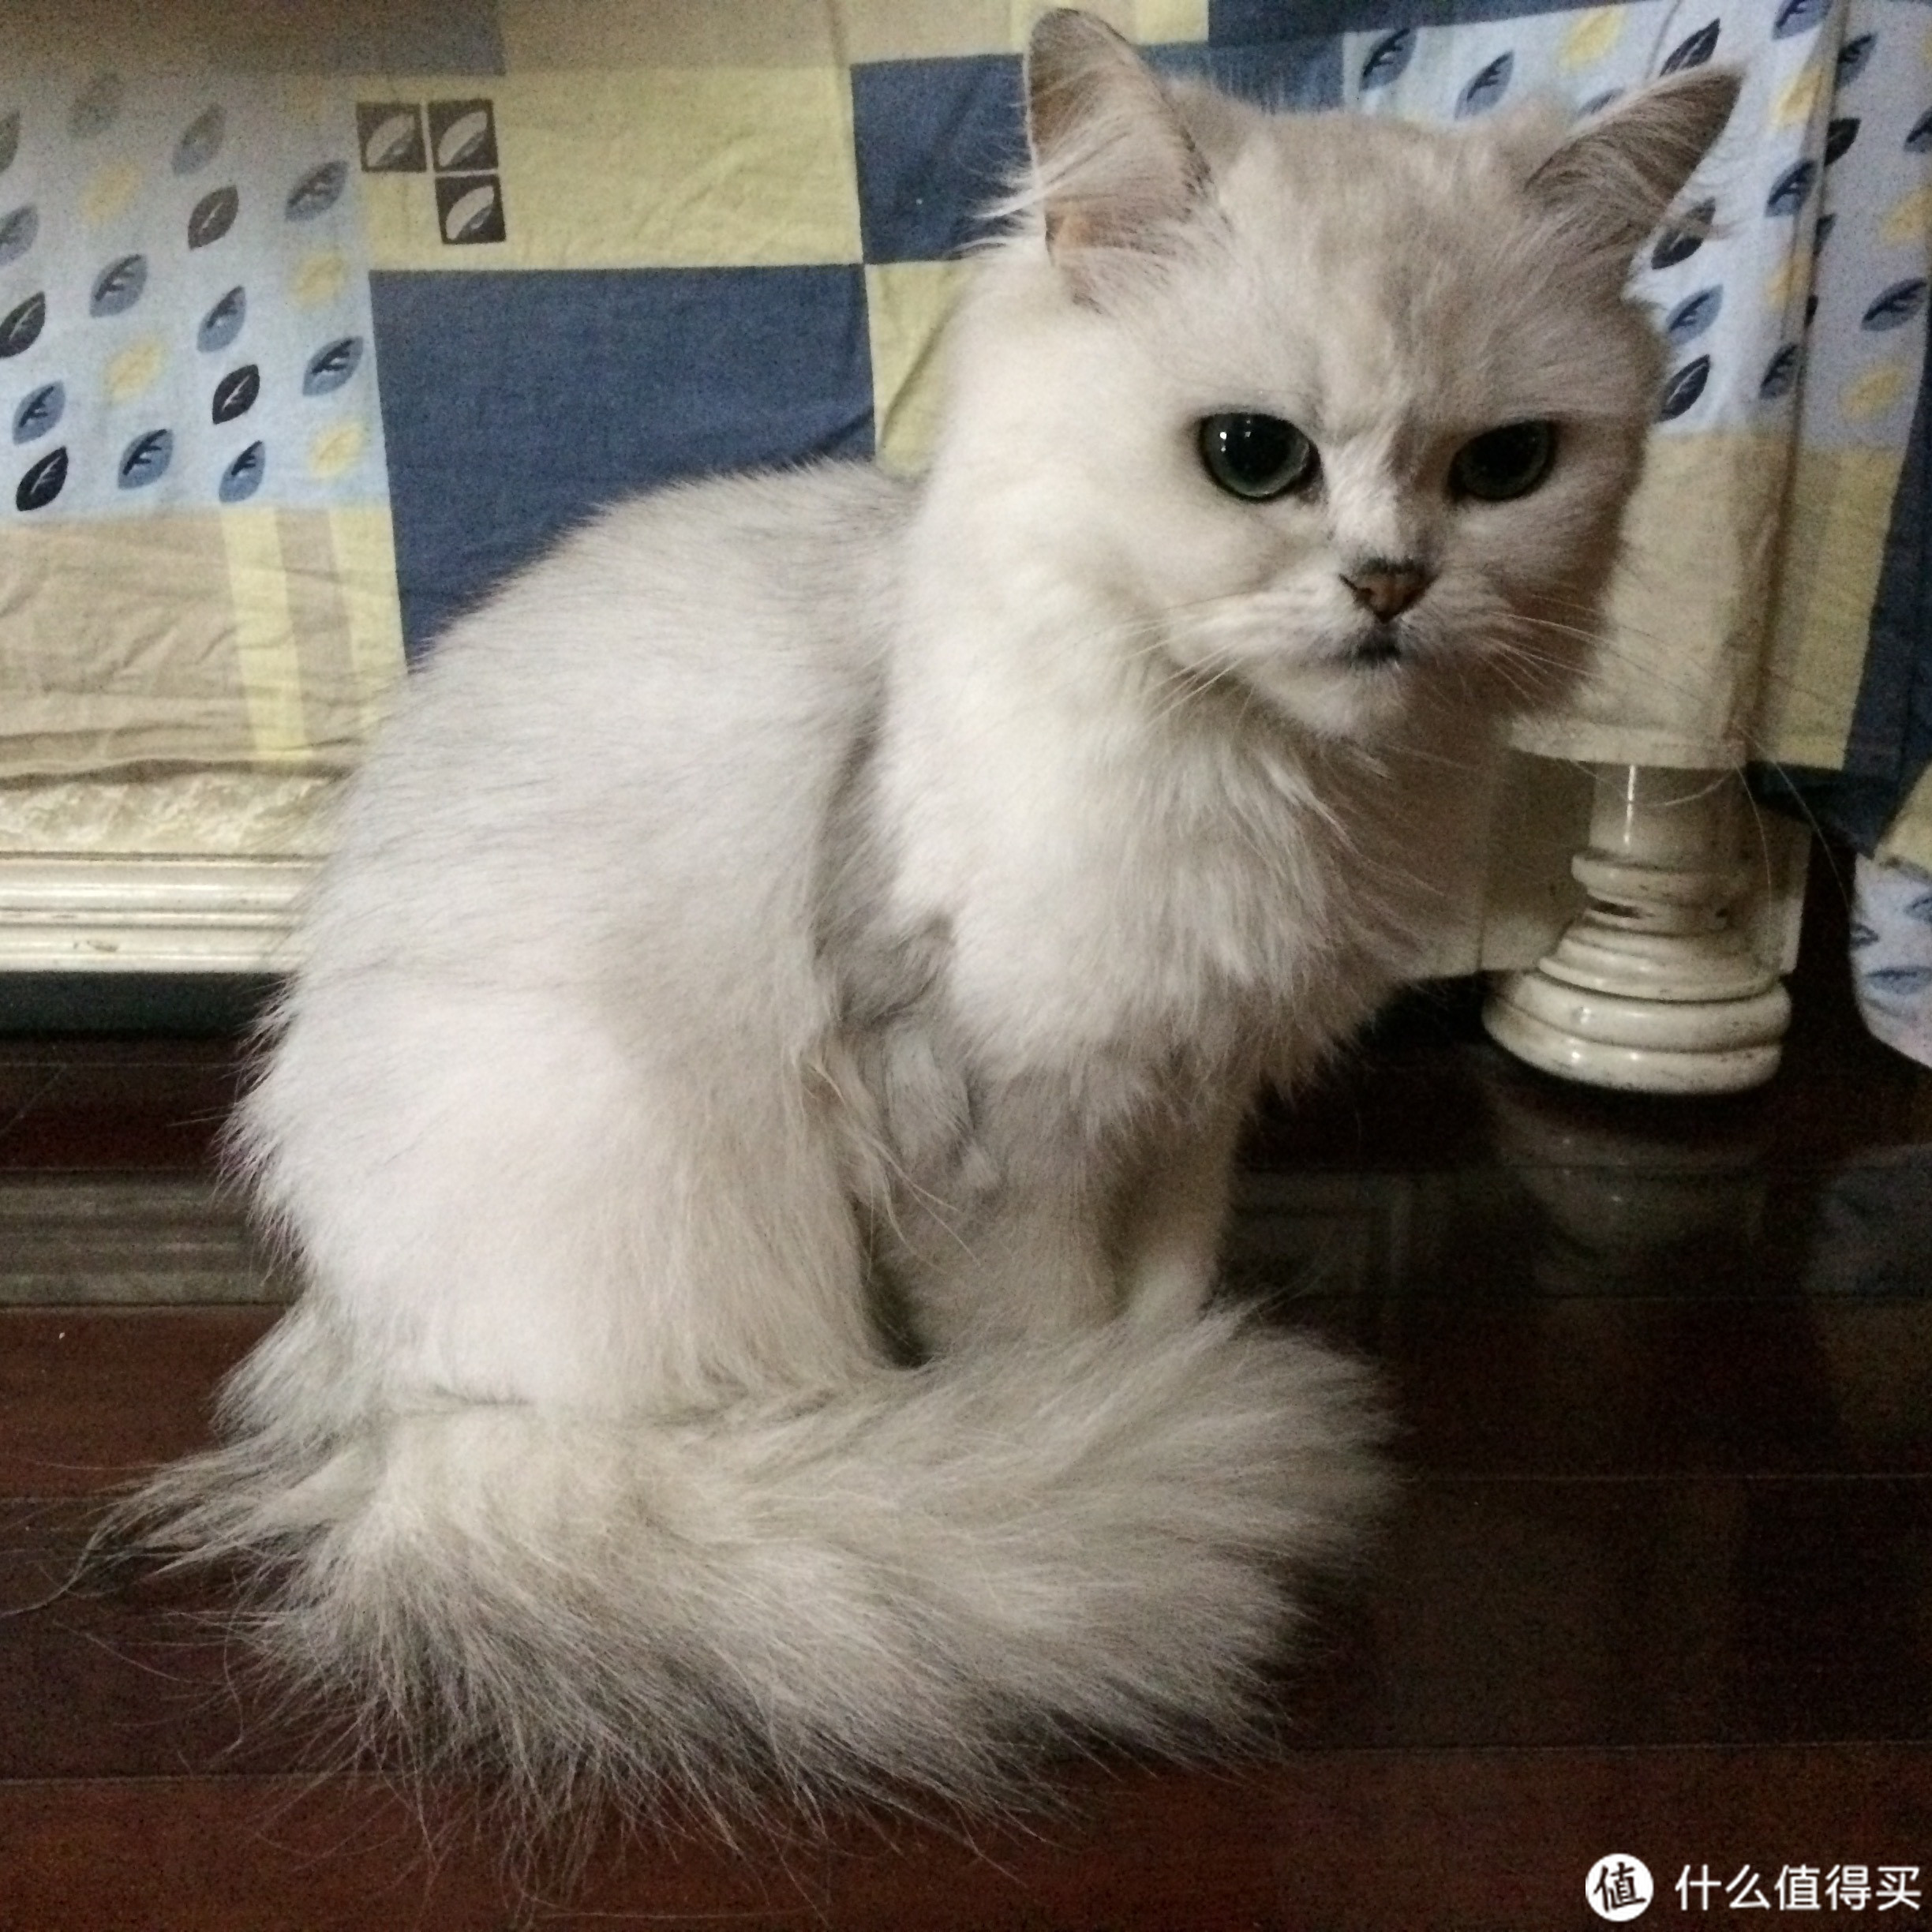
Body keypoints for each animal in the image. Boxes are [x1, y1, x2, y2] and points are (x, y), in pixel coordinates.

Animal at [123, 11, 1738, 1825]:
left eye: (1505, 467)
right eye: (1254, 458)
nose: (1392, 587)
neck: (1268, 784)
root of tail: (384, 1410)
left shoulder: (1190, 1095)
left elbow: (1161, 1299)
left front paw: (1170, 1387)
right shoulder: (985, 1111)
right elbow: (1053, 1341)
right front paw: (1114, 1436)